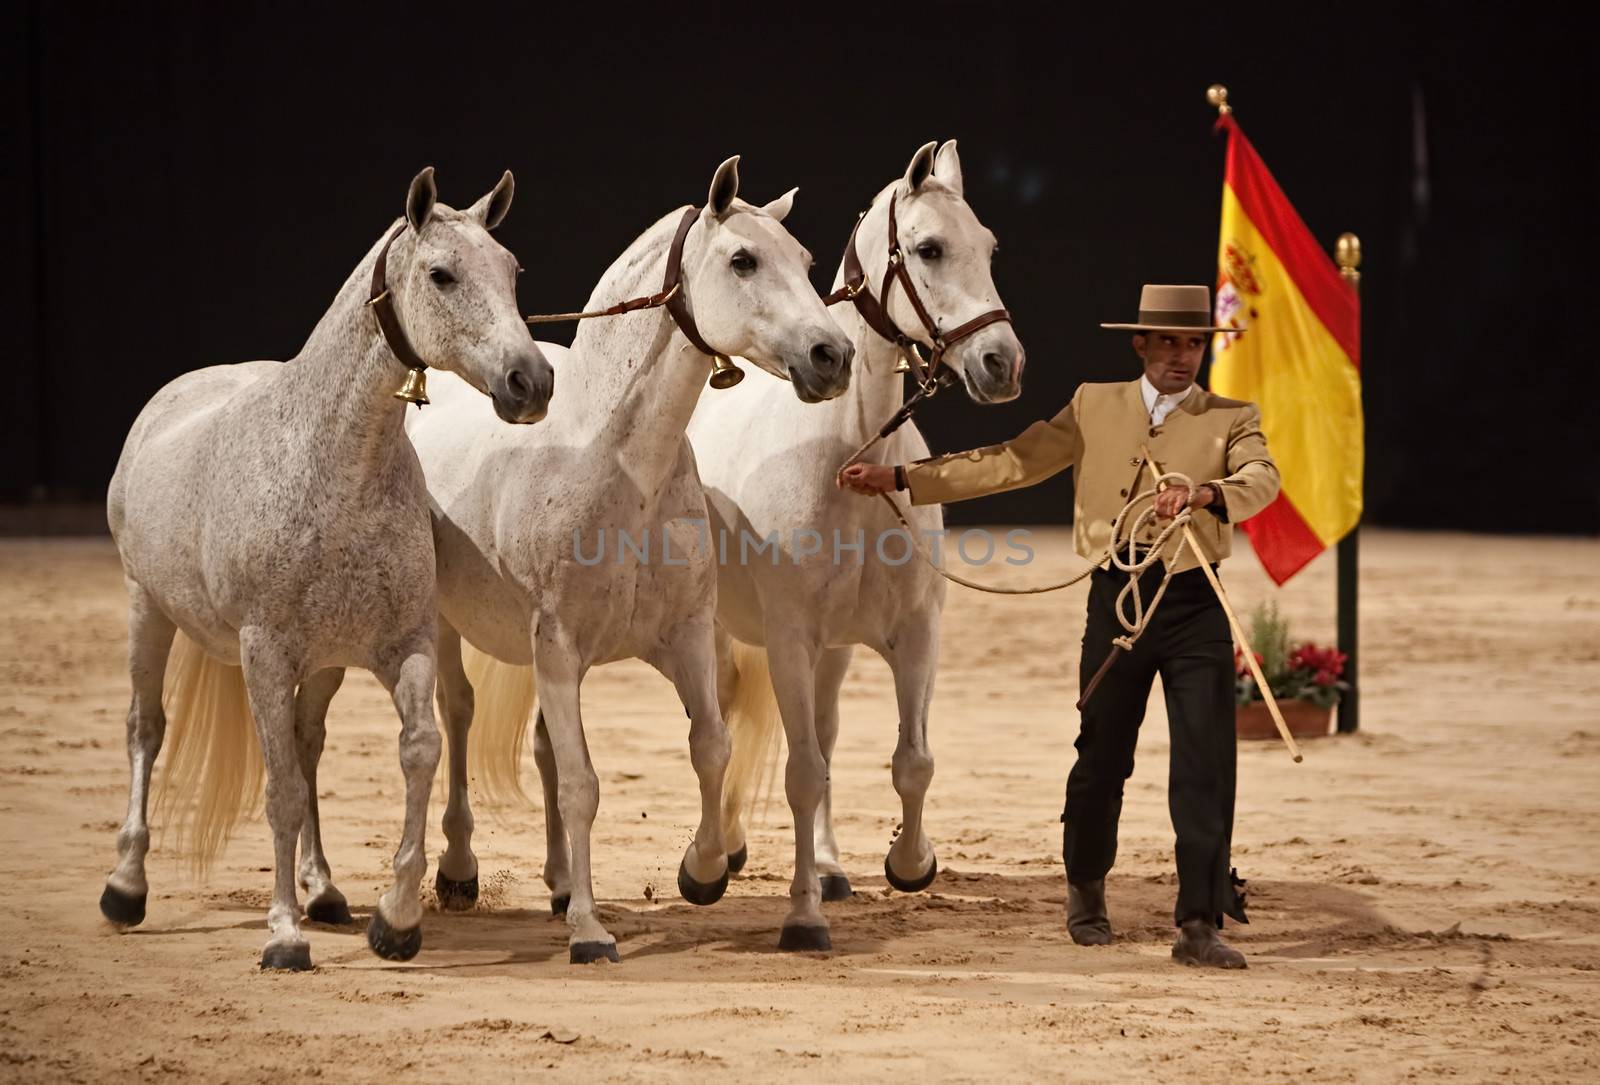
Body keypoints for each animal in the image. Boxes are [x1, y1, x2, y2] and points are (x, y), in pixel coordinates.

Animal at [101, 169, 550, 979]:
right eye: (441, 274)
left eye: (511, 270)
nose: (529, 381)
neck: (336, 468)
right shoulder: (265, 653)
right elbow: (279, 787)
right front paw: (283, 936)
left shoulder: (403, 644)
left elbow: (418, 749)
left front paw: (396, 921)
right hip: (146, 609)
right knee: (146, 729)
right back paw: (127, 886)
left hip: (325, 663)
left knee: (308, 744)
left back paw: (325, 889)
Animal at [403, 155, 864, 966]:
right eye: (742, 260)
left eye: (807, 262)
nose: (830, 356)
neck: (613, 463)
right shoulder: (558, 647)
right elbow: (584, 785)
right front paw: (592, 933)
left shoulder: (682, 638)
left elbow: (709, 747)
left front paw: (702, 871)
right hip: (453, 629)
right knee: (457, 715)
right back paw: (461, 873)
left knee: (544, 750)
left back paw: (560, 885)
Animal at [681, 140, 1017, 947]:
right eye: (929, 249)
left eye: (989, 248)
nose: (1002, 363)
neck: (849, 459)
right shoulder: (790, 641)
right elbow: (801, 774)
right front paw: (801, 918)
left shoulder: (916, 634)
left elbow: (911, 761)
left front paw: (910, 864)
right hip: (721, 632)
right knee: (725, 727)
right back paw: (714, 854)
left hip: (832, 652)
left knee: (826, 738)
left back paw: (830, 869)